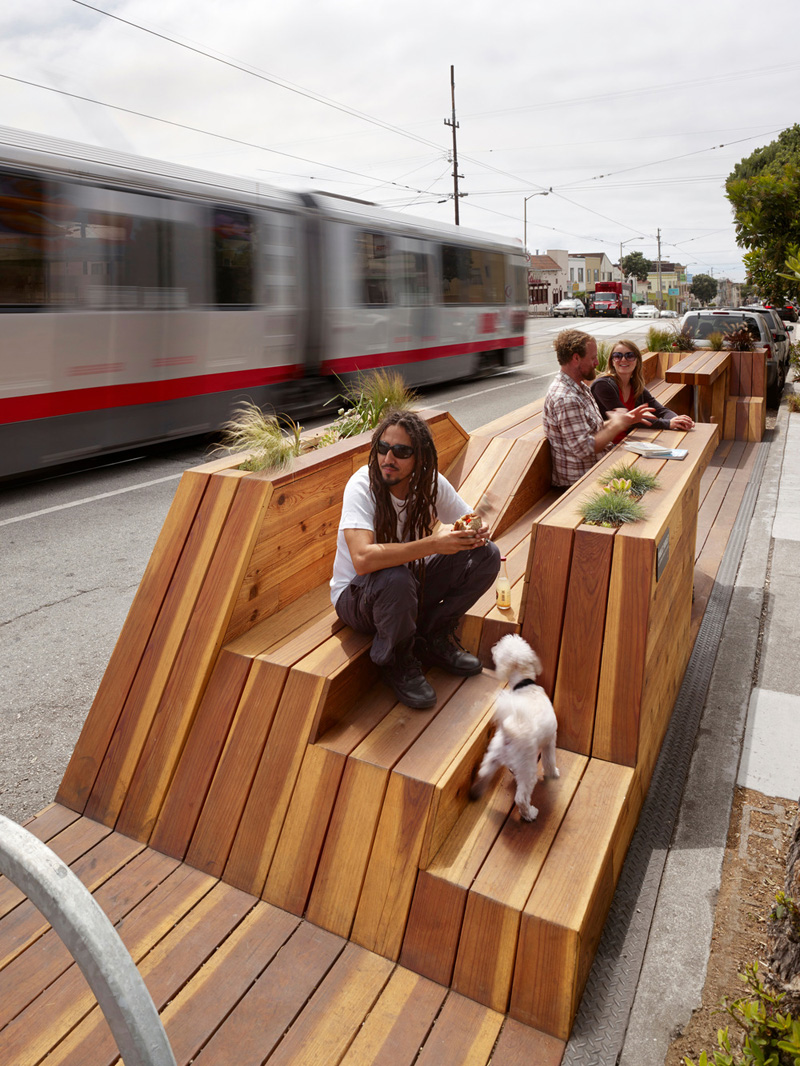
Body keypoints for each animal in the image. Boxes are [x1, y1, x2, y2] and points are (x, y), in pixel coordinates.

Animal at [467, 635, 558, 818]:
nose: (494, 648)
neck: (525, 683)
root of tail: (510, 732)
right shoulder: (550, 740)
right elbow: (549, 760)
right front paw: (553, 774)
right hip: (528, 768)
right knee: (521, 798)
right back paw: (530, 814)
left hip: (493, 754)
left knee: (483, 773)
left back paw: (476, 792)